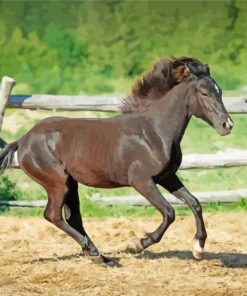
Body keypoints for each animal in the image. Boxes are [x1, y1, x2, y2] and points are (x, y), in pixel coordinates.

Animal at [0, 57, 233, 266]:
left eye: (220, 91)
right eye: (204, 93)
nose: (227, 125)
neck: (154, 131)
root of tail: (22, 140)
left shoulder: (167, 176)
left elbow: (195, 203)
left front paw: (198, 248)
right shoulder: (141, 180)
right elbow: (169, 212)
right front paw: (138, 244)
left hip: (71, 184)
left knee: (72, 217)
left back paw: (102, 257)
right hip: (57, 183)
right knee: (53, 215)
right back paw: (95, 253)